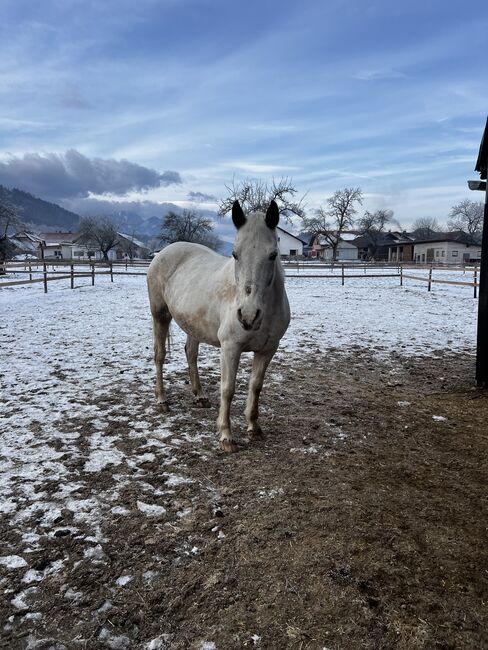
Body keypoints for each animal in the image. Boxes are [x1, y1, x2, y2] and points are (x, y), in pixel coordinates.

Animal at [147, 200, 292, 448]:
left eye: (273, 255)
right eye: (235, 254)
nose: (248, 316)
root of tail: (162, 253)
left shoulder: (268, 349)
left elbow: (256, 386)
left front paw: (254, 427)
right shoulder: (230, 348)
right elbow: (228, 389)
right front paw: (226, 436)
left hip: (192, 325)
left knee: (191, 354)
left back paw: (200, 396)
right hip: (160, 316)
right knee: (159, 355)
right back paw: (162, 400)